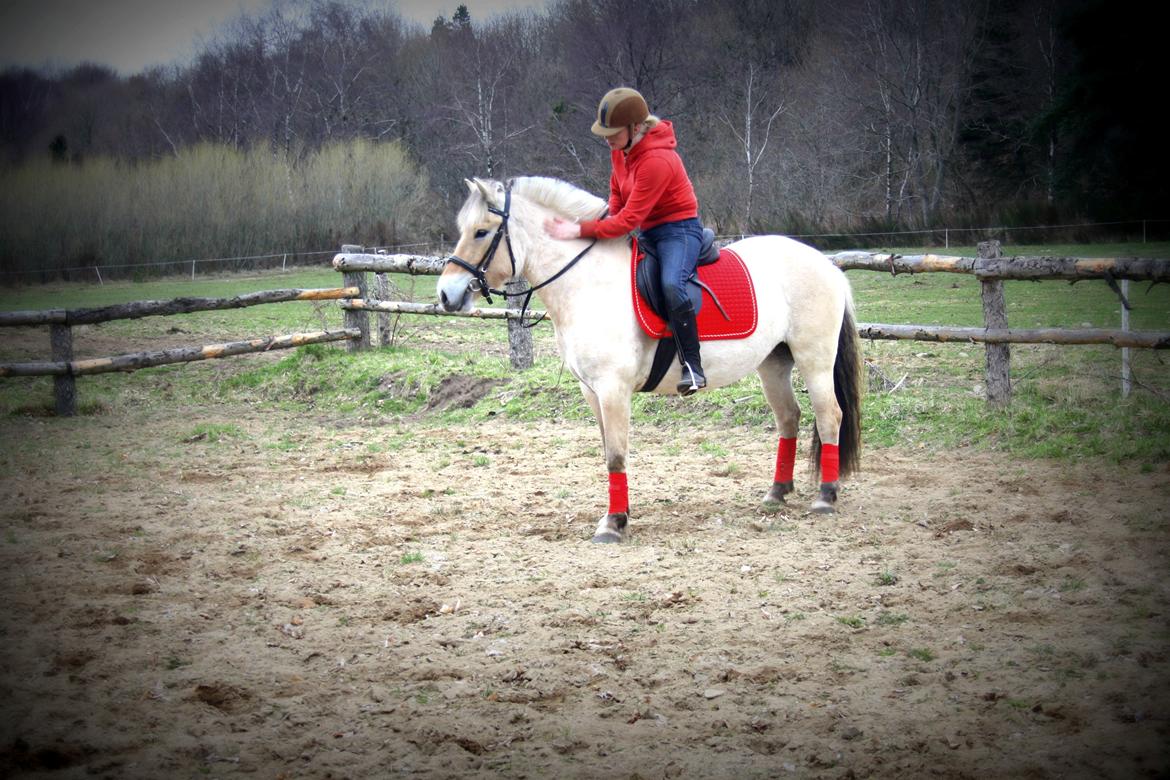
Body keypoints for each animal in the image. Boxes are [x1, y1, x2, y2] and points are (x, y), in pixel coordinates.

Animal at [437, 176, 861, 542]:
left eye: (481, 232)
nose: (446, 294)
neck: (587, 283)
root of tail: (827, 264)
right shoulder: (591, 391)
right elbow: (608, 452)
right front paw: (618, 515)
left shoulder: (612, 389)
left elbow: (615, 455)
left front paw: (613, 524)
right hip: (773, 364)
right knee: (789, 418)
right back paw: (777, 492)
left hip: (815, 359)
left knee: (829, 416)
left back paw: (825, 496)